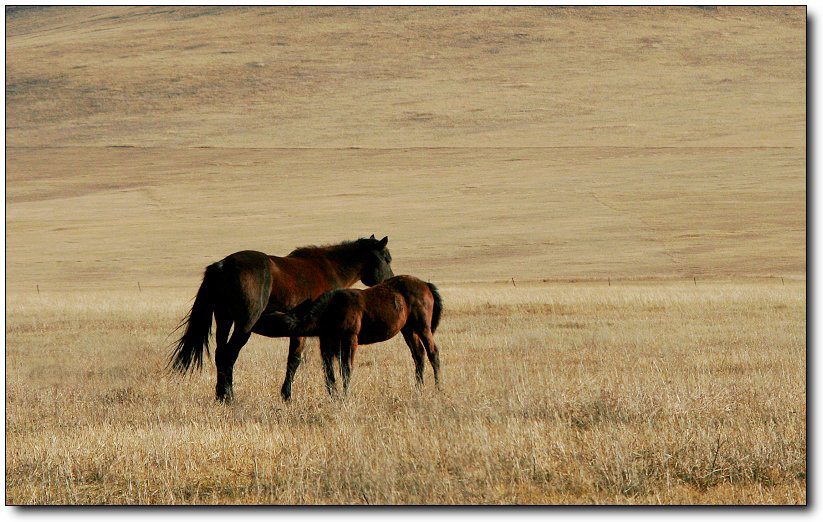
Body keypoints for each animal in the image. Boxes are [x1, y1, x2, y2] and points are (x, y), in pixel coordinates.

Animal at [169, 234, 394, 400]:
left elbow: (297, 360)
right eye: (387, 258)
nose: (390, 281)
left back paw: (220, 395)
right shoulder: (323, 332)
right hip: (244, 325)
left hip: (224, 320)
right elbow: (312, 360)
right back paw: (229, 396)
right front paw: (323, 393)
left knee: (220, 353)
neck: (329, 268)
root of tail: (223, 265)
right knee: (229, 355)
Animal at [268, 274, 440, 392]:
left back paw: (438, 387)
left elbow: (346, 369)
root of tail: (425, 285)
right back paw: (419, 388)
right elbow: (329, 370)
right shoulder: (329, 343)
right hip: (408, 330)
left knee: (433, 353)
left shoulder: (350, 339)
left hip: (423, 328)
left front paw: (345, 396)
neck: (332, 309)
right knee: (419, 355)